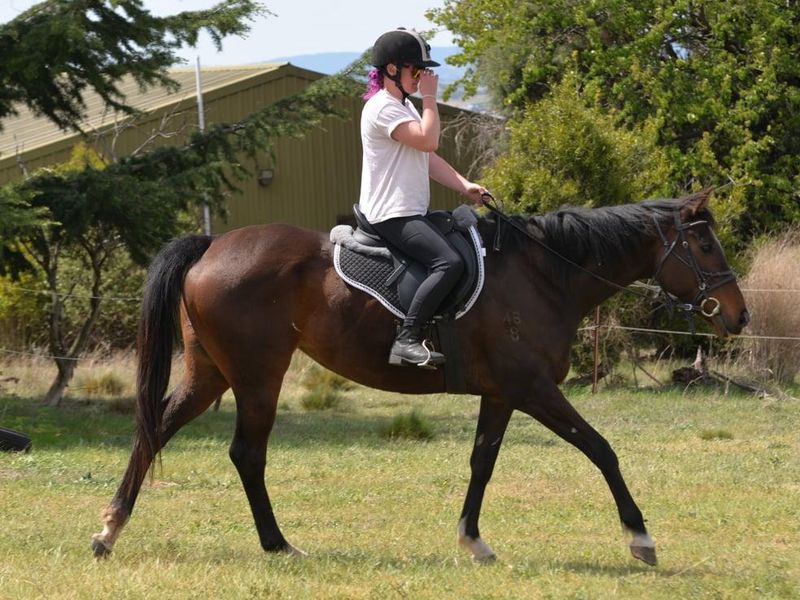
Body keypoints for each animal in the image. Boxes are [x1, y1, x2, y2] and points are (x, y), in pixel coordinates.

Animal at [91, 189, 749, 566]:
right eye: (706, 247)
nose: (739, 316)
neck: (543, 274)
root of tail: (210, 245)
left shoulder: (502, 393)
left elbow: (482, 462)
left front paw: (473, 540)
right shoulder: (534, 389)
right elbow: (601, 449)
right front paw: (640, 539)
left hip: (211, 373)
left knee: (155, 430)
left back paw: (109, 531)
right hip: (257, 375)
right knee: (246, 454)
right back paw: (276, 544)